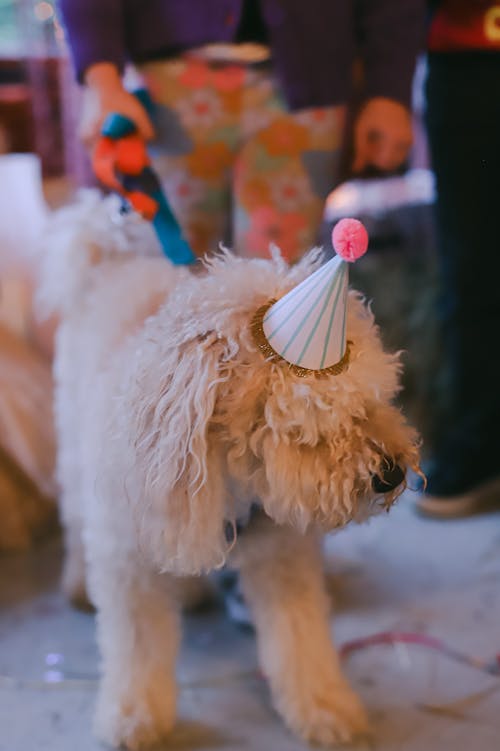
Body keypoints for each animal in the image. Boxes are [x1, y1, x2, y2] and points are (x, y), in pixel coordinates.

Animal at [41, 194, 420, 751]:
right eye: (307, 418)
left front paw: (323, 705)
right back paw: (74, 583)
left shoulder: (284, 560)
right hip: (70, 444)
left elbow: (299, 639)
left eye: (376, 394)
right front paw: (133, 715)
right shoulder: (128, 563)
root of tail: (108, 254)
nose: (392, 474)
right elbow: (137, 649)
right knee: (71, 516)